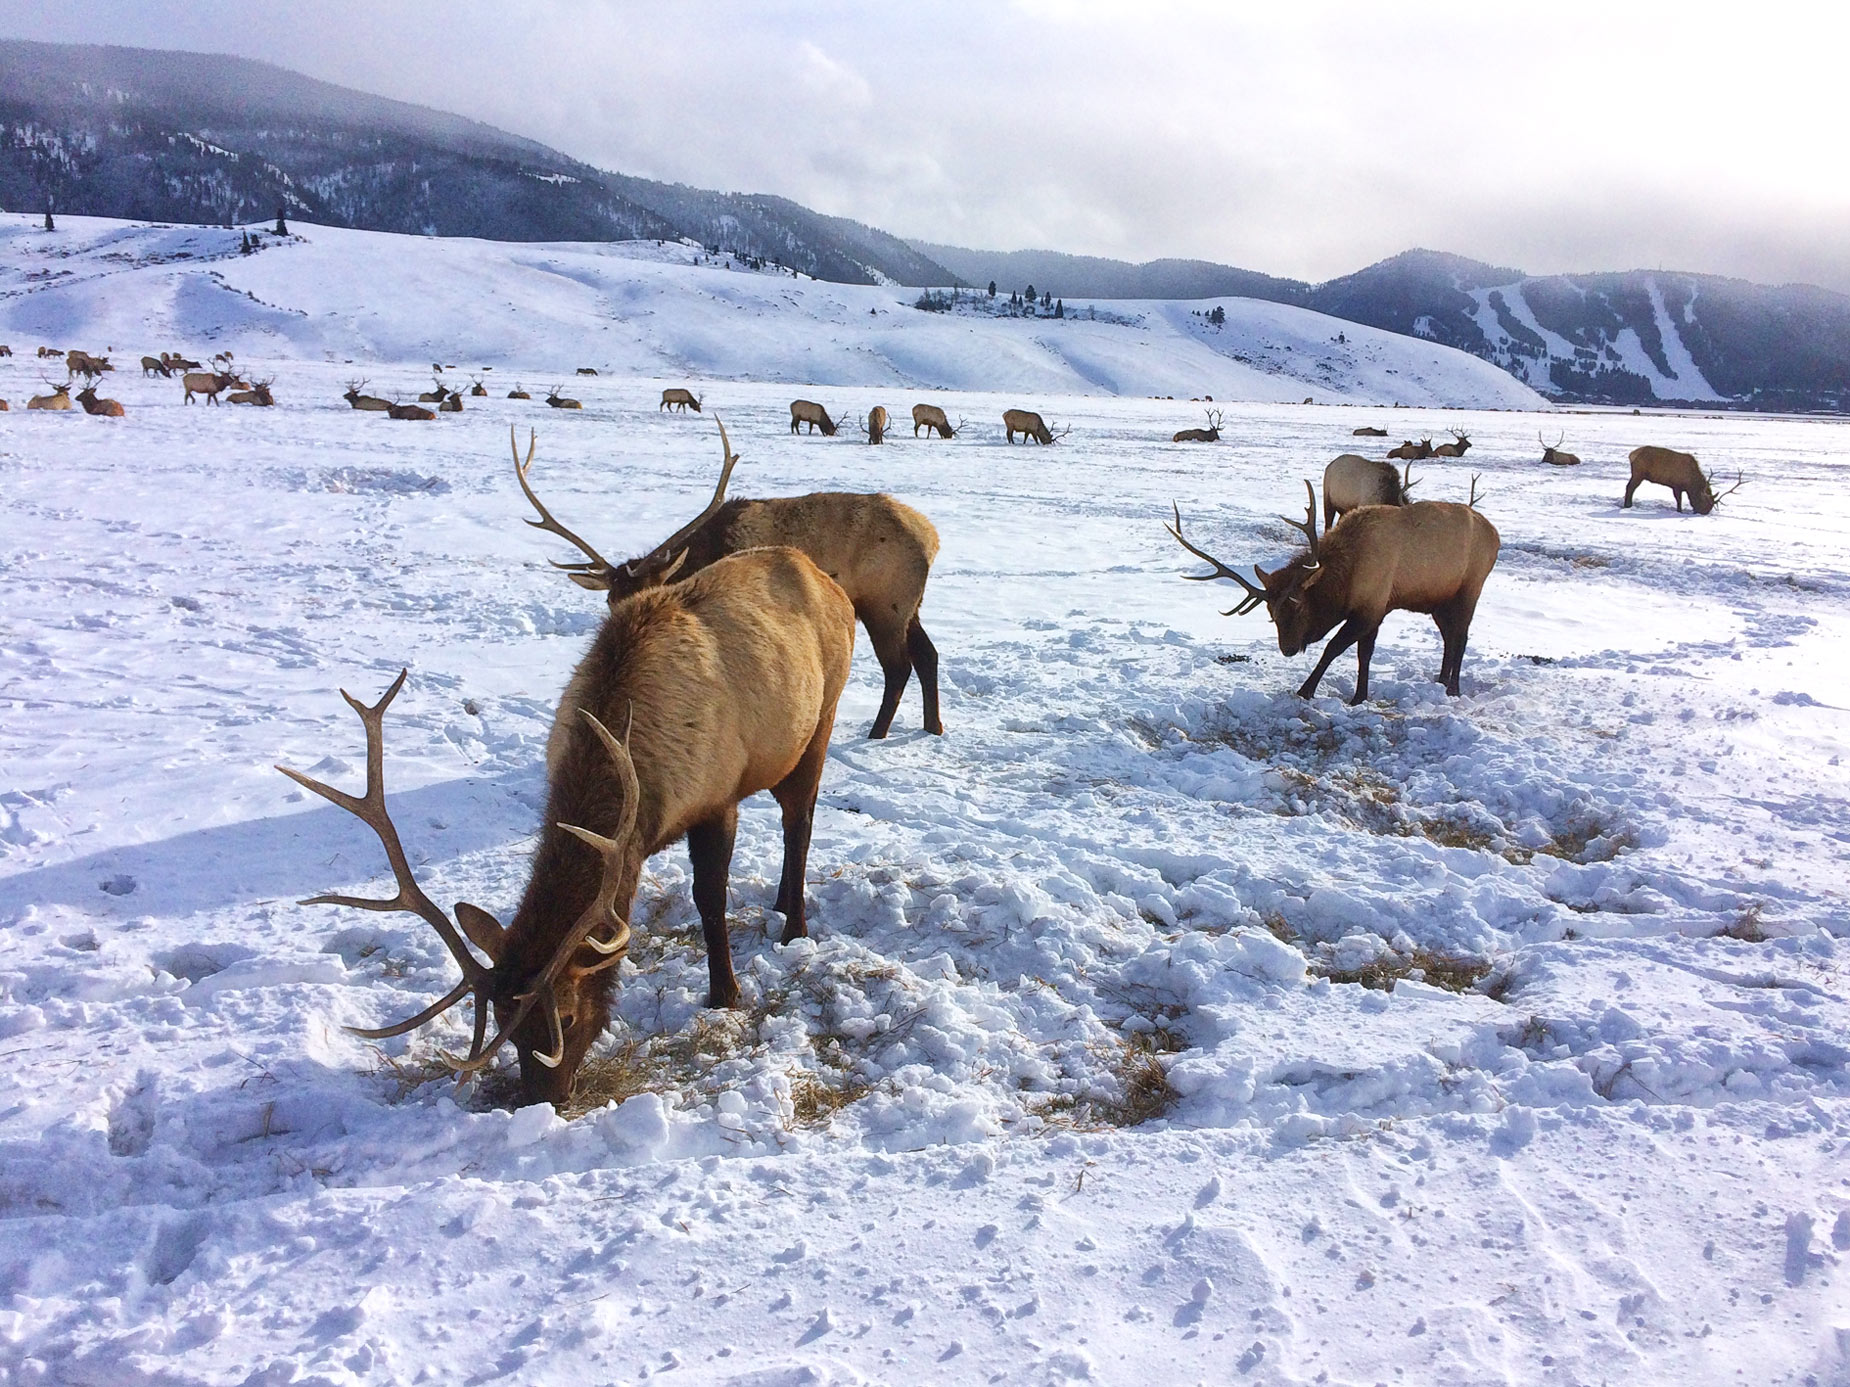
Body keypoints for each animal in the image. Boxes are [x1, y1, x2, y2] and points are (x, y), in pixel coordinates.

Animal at [277, 539, 855, 1105]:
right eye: (503, 1021)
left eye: (568, 1019)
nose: (543, 1101)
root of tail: (824, 577)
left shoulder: (717, 799)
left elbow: (709, 897)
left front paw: (725, 994)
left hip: (820, 720)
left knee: (799, 819)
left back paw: (794, 924)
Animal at [514, 422, 944, 739]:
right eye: (610, 601)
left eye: (655, 590)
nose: (627, 637)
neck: (698, 559)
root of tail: (932, 538)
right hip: (911, 605)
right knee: (928, 655)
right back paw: (932, 726)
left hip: (885, 604)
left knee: (899, 666)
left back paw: (877, 733)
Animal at [1167, 481, 1500, 704]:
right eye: (1271, 613)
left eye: (1299, 605)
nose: (1288, 649)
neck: (1349, 576)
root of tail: (1495, 535)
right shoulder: (1378, 609)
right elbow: (1364, 654)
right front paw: (1359, 696)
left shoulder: (1372, 606)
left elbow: (1333, 648)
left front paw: (1306, 690)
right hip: (1438, 600)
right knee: (1449, 636)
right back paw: (1441, 680)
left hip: (1470, 587)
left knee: (1462, 636)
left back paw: (1453, 688)